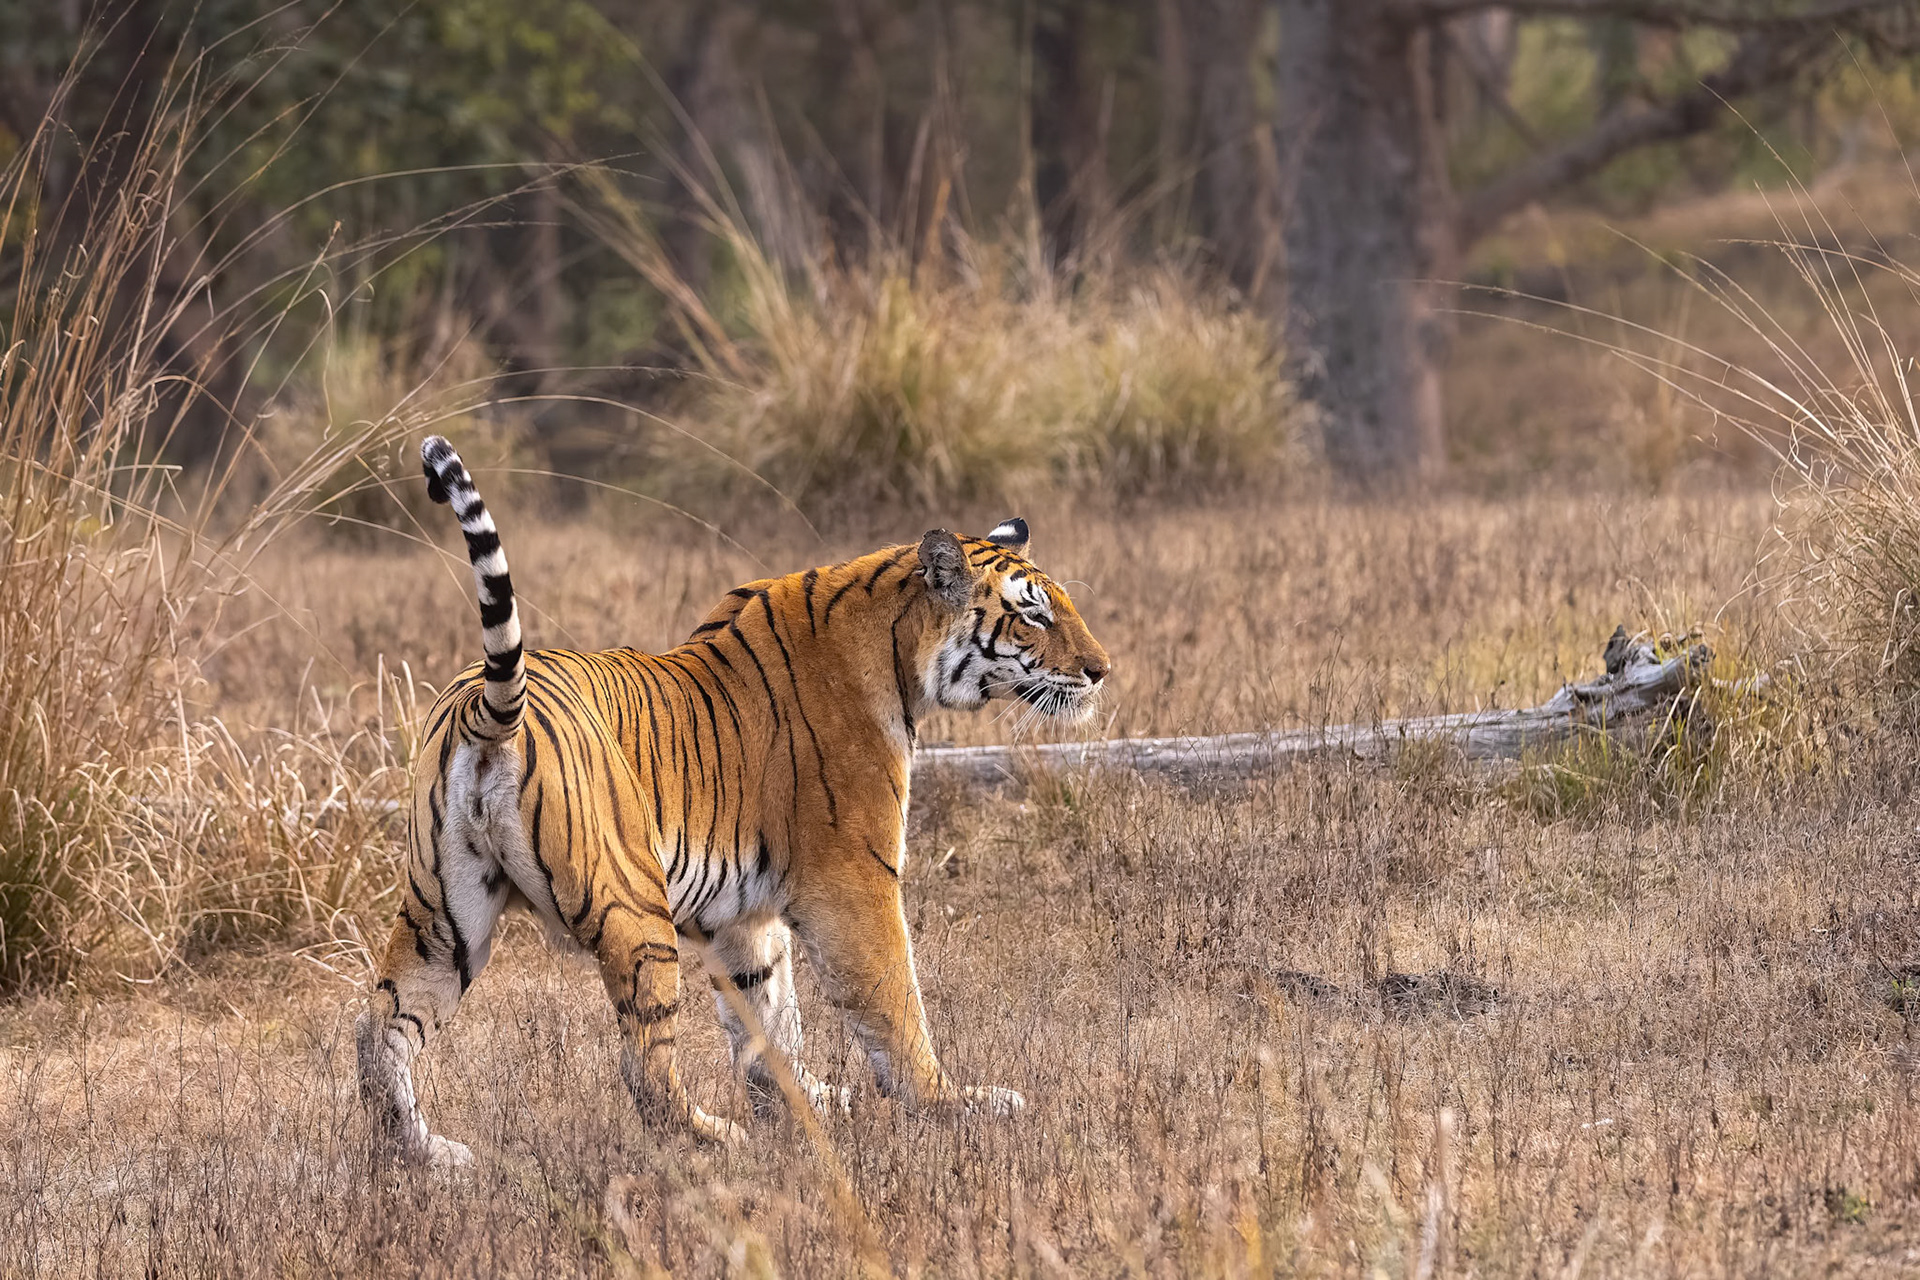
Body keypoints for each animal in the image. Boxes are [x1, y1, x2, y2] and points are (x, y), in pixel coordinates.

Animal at [355, 435, 1112, 1166]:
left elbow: (769, 1017)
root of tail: (485, 707)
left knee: (378, 1029)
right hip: (635, 911)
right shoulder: (856, 880)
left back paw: (424, 1155)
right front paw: (950, 1104)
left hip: (446, 917)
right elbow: (893, 1002)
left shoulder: (744, 914)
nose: (1101, 670)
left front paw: (808, 1103)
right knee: (642, 1066)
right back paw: (713, 1139)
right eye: (1033, 614)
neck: (899, 653)